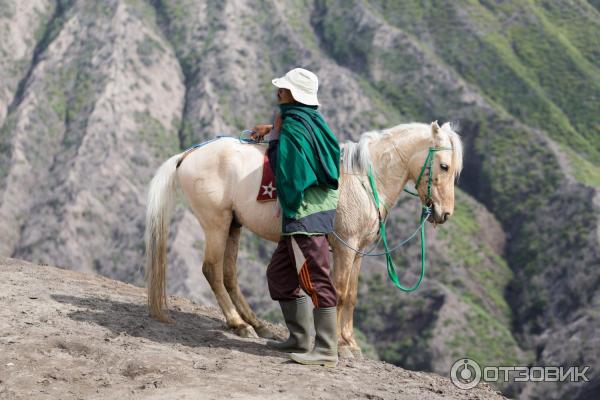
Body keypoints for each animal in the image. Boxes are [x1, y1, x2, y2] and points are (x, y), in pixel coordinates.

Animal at [145, 121, 464, 356]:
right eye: (444, 166)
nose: (444, 213)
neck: (362, 179)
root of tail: (189, 155)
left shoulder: (358, 252)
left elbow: (352, 296)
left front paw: (350, 341)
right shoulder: (345, 248)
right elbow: (341, 292)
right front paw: (340, 345)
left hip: (233, 226)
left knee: (229, 275)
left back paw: (256, 325)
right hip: (216, 224)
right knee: (212, 270)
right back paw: (238, 324)